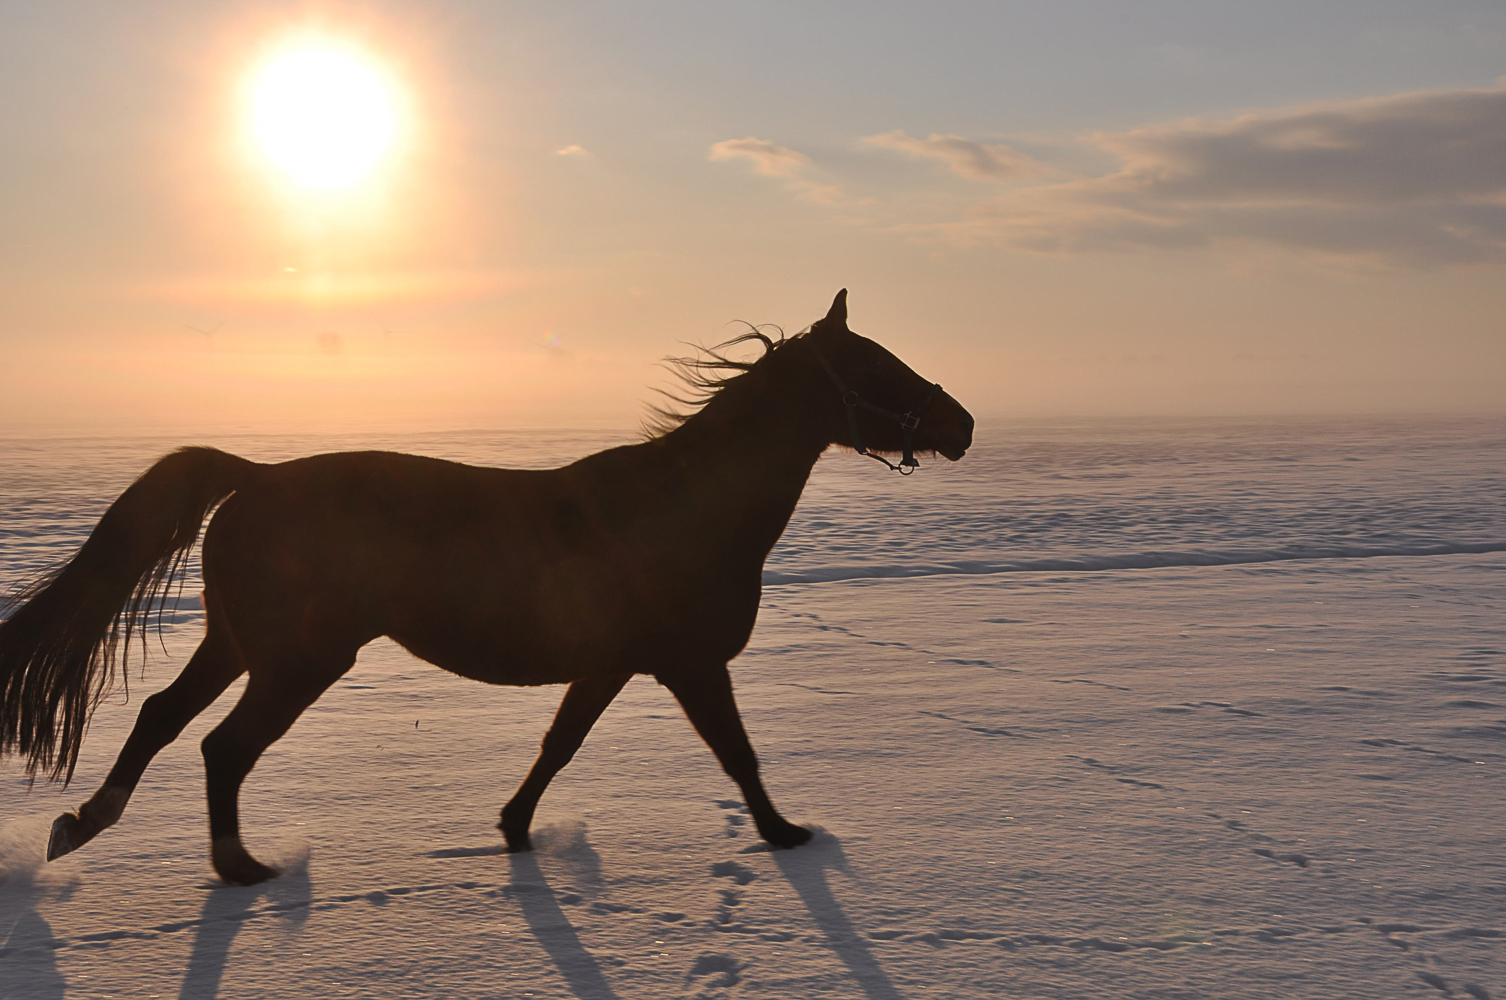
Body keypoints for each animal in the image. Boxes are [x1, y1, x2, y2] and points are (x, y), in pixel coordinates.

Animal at [0, 289, 975, 885]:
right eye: (879, 366)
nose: (962, 424)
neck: (687, 508)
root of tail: (256, 477)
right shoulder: (691, 664)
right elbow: (736, 754)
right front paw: (785, 836)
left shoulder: (612, 666)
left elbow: (559, 746)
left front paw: (513, 828)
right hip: (297, 662)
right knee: (222, 747)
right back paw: (237, 869)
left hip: (239, 645)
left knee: (163, 718)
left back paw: (81, 824)